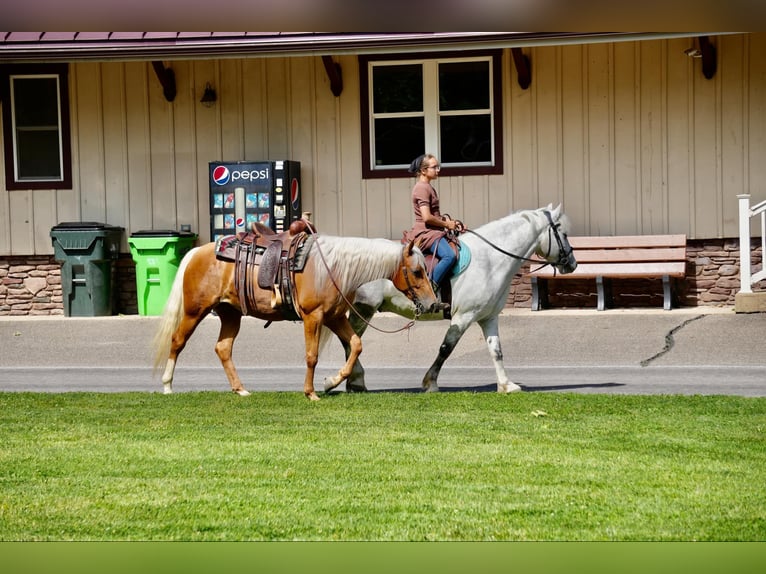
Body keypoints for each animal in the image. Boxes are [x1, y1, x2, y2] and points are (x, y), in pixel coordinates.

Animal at [154, 227, 438, 402]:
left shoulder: (335, 317)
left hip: (230, 314)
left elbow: (356, 345)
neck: (333, 268)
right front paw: (311, 392)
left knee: (223, 348)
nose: (433, 303)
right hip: (195, 311)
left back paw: (240, 389)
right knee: (177, 341)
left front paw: (331, 381)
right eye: (416, 271)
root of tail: (197, 251)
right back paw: (167, 385)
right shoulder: (314, 317)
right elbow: (312, 356)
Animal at [344, 204, 580, 396]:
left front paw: (506, 385)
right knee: (351, 341)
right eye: (564, 234)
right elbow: (446, 348)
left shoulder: (488, 317)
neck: (489, 259)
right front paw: (430, 383)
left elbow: (496, 350)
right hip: (364, 309)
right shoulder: (464, 316)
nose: (572, 263)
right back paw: (356, 381)